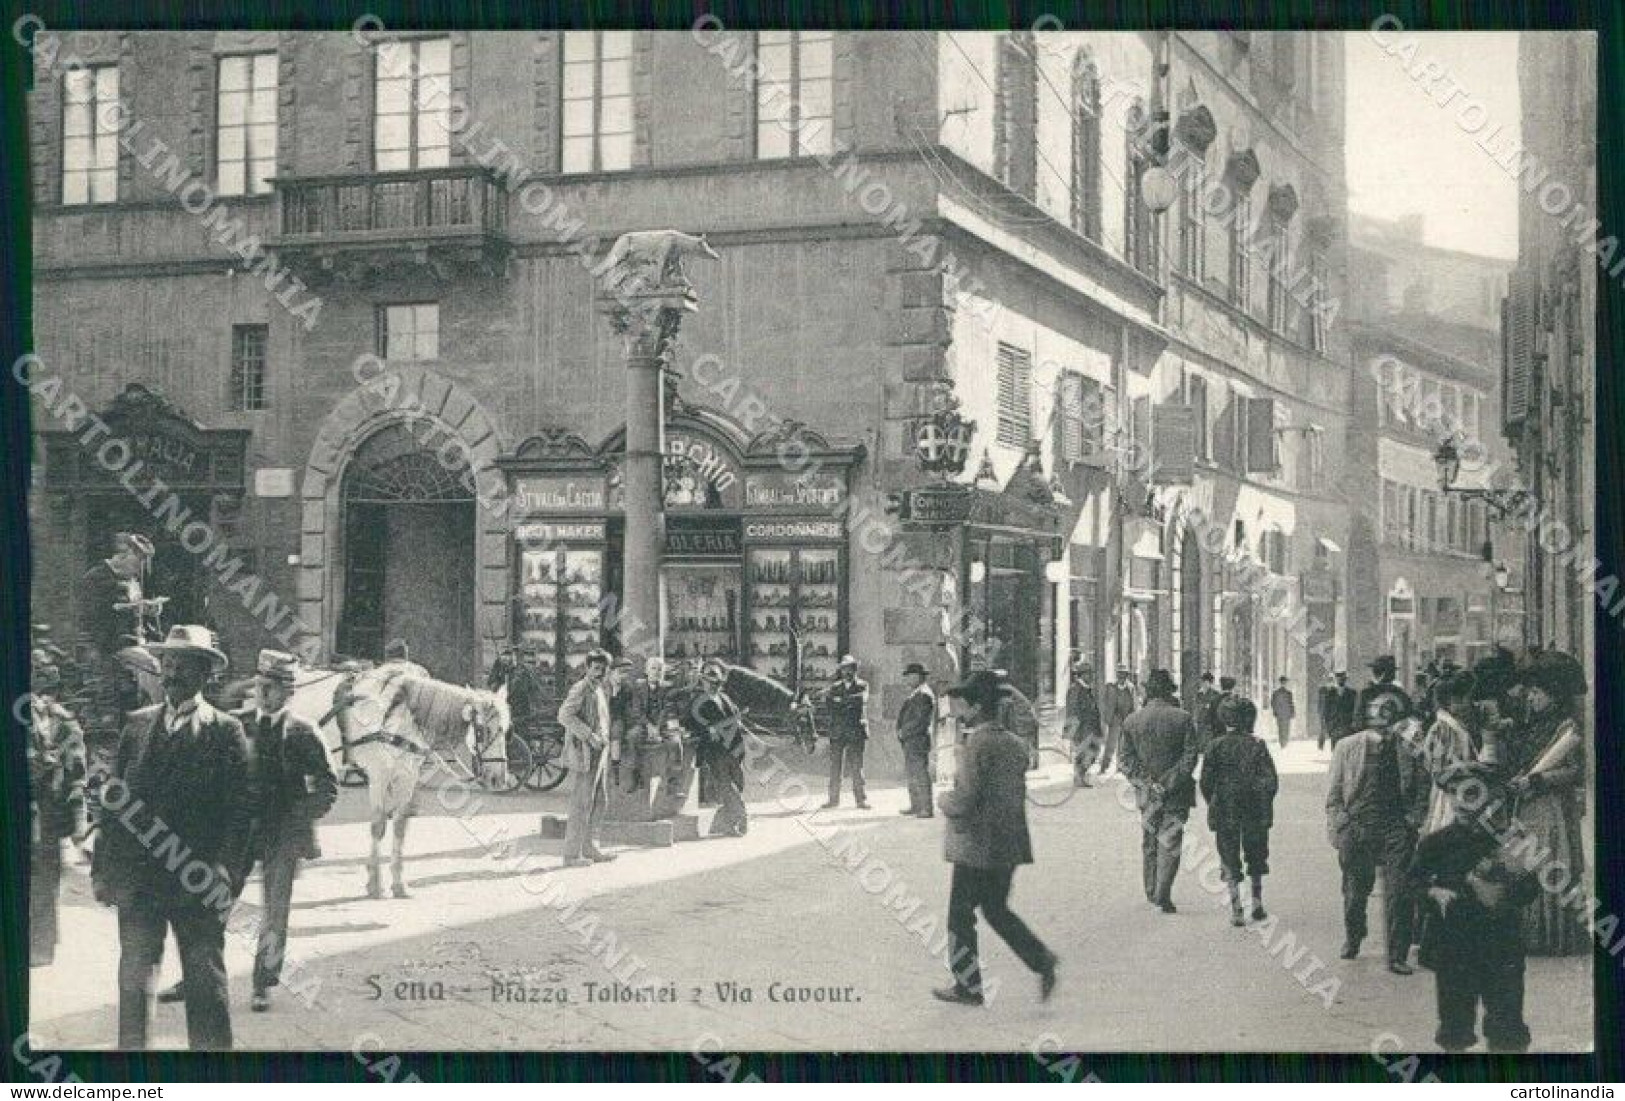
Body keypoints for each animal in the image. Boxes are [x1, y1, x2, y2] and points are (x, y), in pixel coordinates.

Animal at [323, 669, 507, 902]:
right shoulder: (379, 775)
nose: (498, 779)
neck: (399, 716)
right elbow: (378, 826)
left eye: (506, 730)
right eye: (484, 730)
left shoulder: (407, 776)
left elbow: (400, 826)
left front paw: (398, 883)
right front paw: (375, 883)